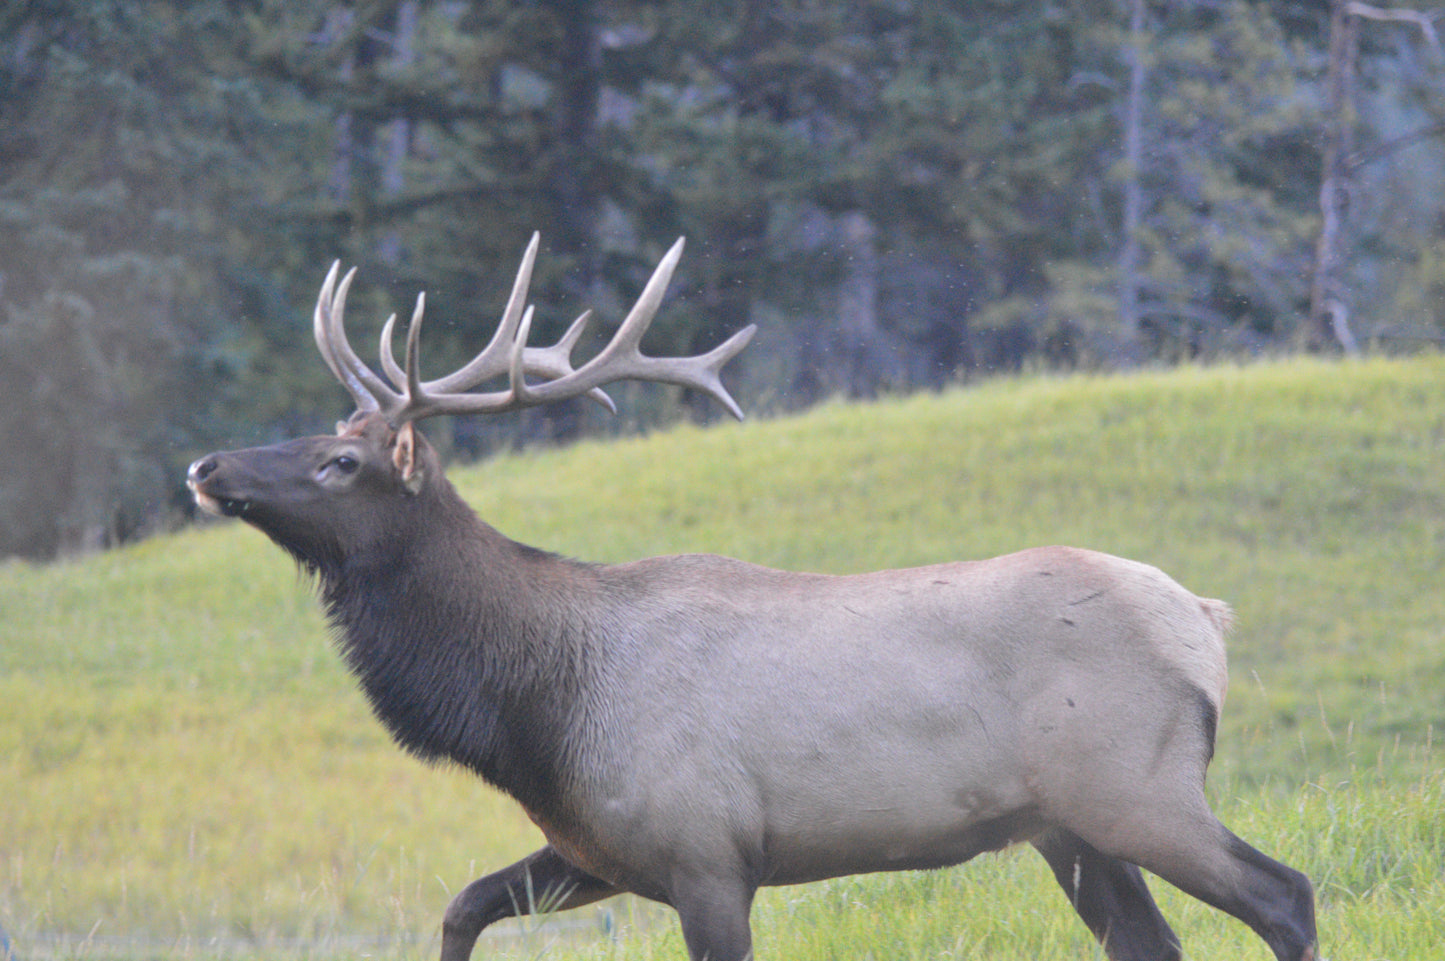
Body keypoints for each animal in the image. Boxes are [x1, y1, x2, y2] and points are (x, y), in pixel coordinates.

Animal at [187, 234, 1318, 961]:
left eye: (340, 460)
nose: (205, 463)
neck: (537, 704)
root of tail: (1205, 620)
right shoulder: (598, 845)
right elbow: (460, 907)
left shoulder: (706, 850)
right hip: (1068, 827)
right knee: (1155, 942)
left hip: (1136, 786)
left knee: (1285, 895)